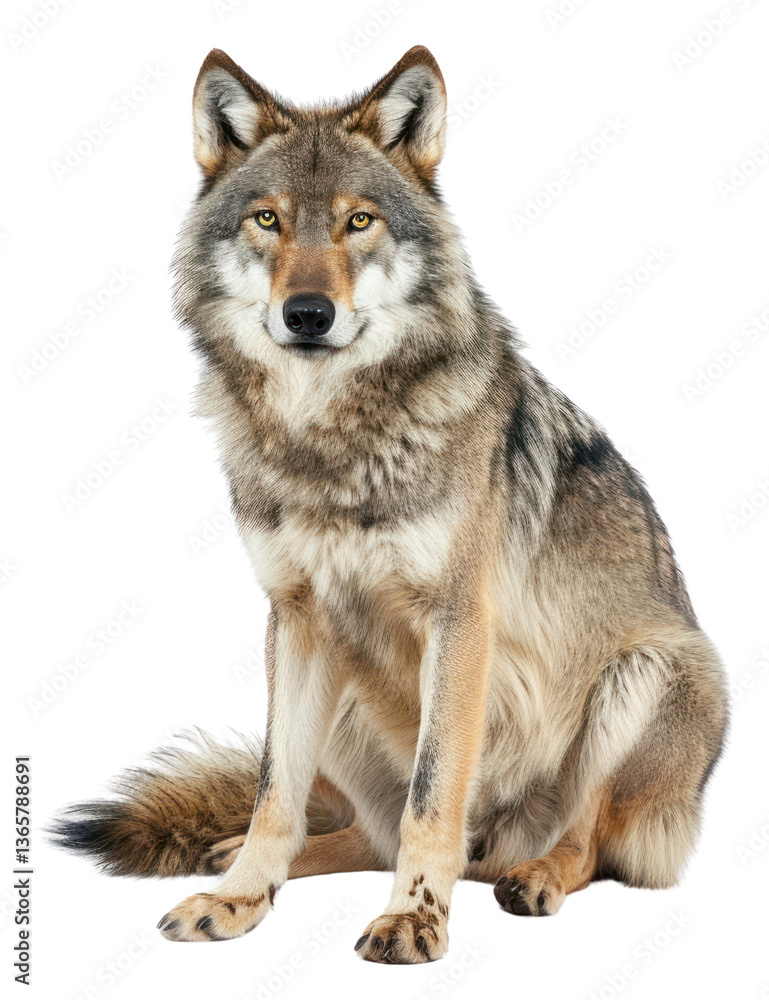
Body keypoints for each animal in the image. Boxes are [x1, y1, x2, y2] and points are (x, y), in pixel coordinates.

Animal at [52, 46, 727, 964]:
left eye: (359, 221)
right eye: (268, 220)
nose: (307, 314)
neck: (330, 444)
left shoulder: (459, 620)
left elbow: (430, 798)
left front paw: (414, 918)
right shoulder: (295, 617)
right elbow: (274, 794)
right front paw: (238, 899)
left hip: (651, 673)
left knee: (585, 841)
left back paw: (535, 877)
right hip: (333, 681)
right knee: (351, 829)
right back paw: (230, 860)